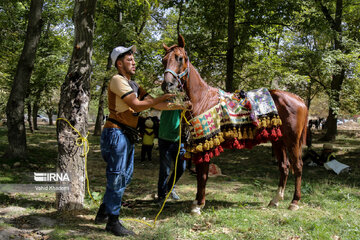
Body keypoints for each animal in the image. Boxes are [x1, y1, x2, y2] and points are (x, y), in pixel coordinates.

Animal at [162, 34, 308, 215]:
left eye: (180, 58)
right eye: (163, 60)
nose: (167, 85)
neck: (202, 99)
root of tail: (299, 99)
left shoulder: (206, 144)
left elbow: (203, 174)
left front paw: (198, 205)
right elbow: (201, 174)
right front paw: (197, 202)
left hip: (292, 141)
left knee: (298, 166)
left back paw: (294, 201)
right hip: (278, 140)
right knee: (284, 167)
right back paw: (275, 200)